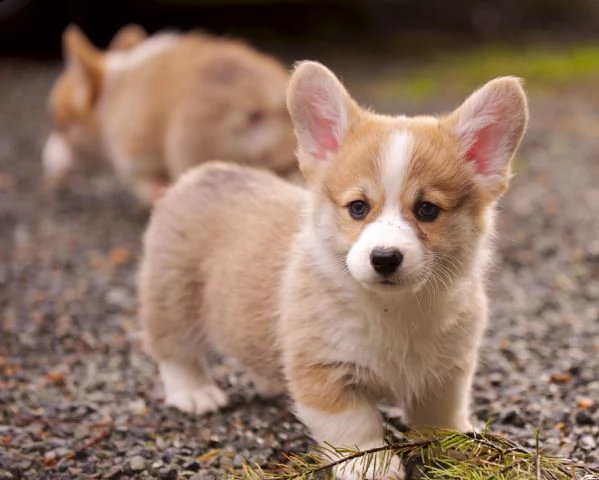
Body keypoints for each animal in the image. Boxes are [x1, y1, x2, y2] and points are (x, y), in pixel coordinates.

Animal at [138, 62, 528, 478]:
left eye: (427, 210)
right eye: (358, 207)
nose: (385, 257)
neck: (394, 309)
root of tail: (206, 172)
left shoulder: (447, 371)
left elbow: (441, 417)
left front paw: (455, 450)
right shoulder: (325, 372)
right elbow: (354, 427)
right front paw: (372, 466)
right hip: (172, 297)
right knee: (173, 349)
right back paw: (194, 392)